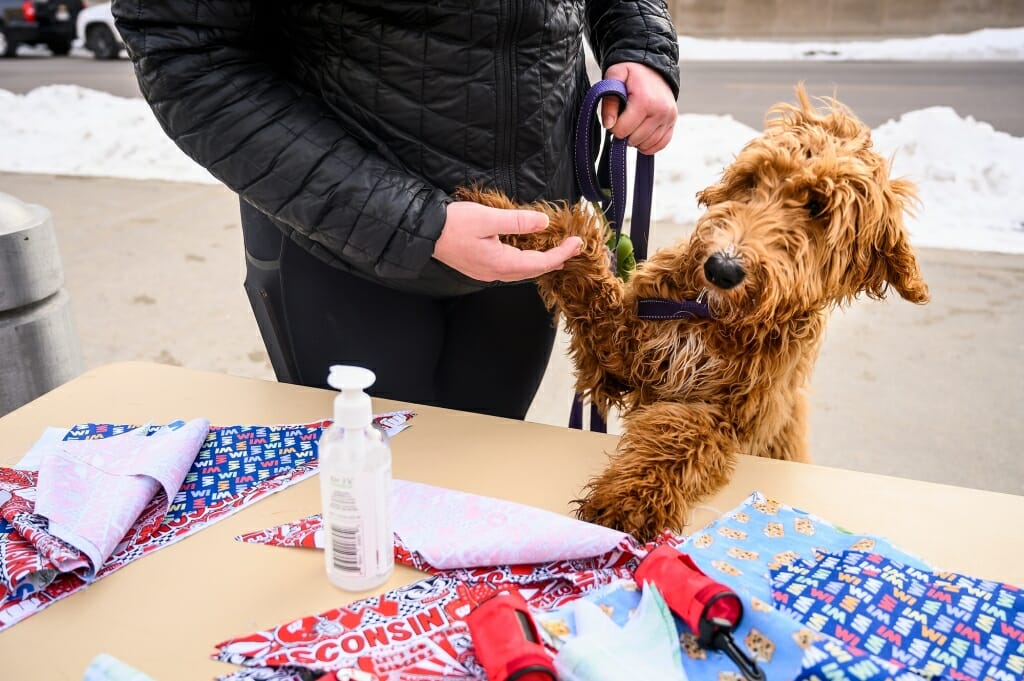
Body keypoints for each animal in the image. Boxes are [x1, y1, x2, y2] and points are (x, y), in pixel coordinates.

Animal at [464, 86, 929, 540]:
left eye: (818, 207)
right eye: (752, 180)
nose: (722, 268)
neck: (711, 316)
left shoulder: (724, 415)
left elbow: (679, 438)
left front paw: (629, 502)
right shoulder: (622, 349)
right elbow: (582, 270)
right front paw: (505, 221)